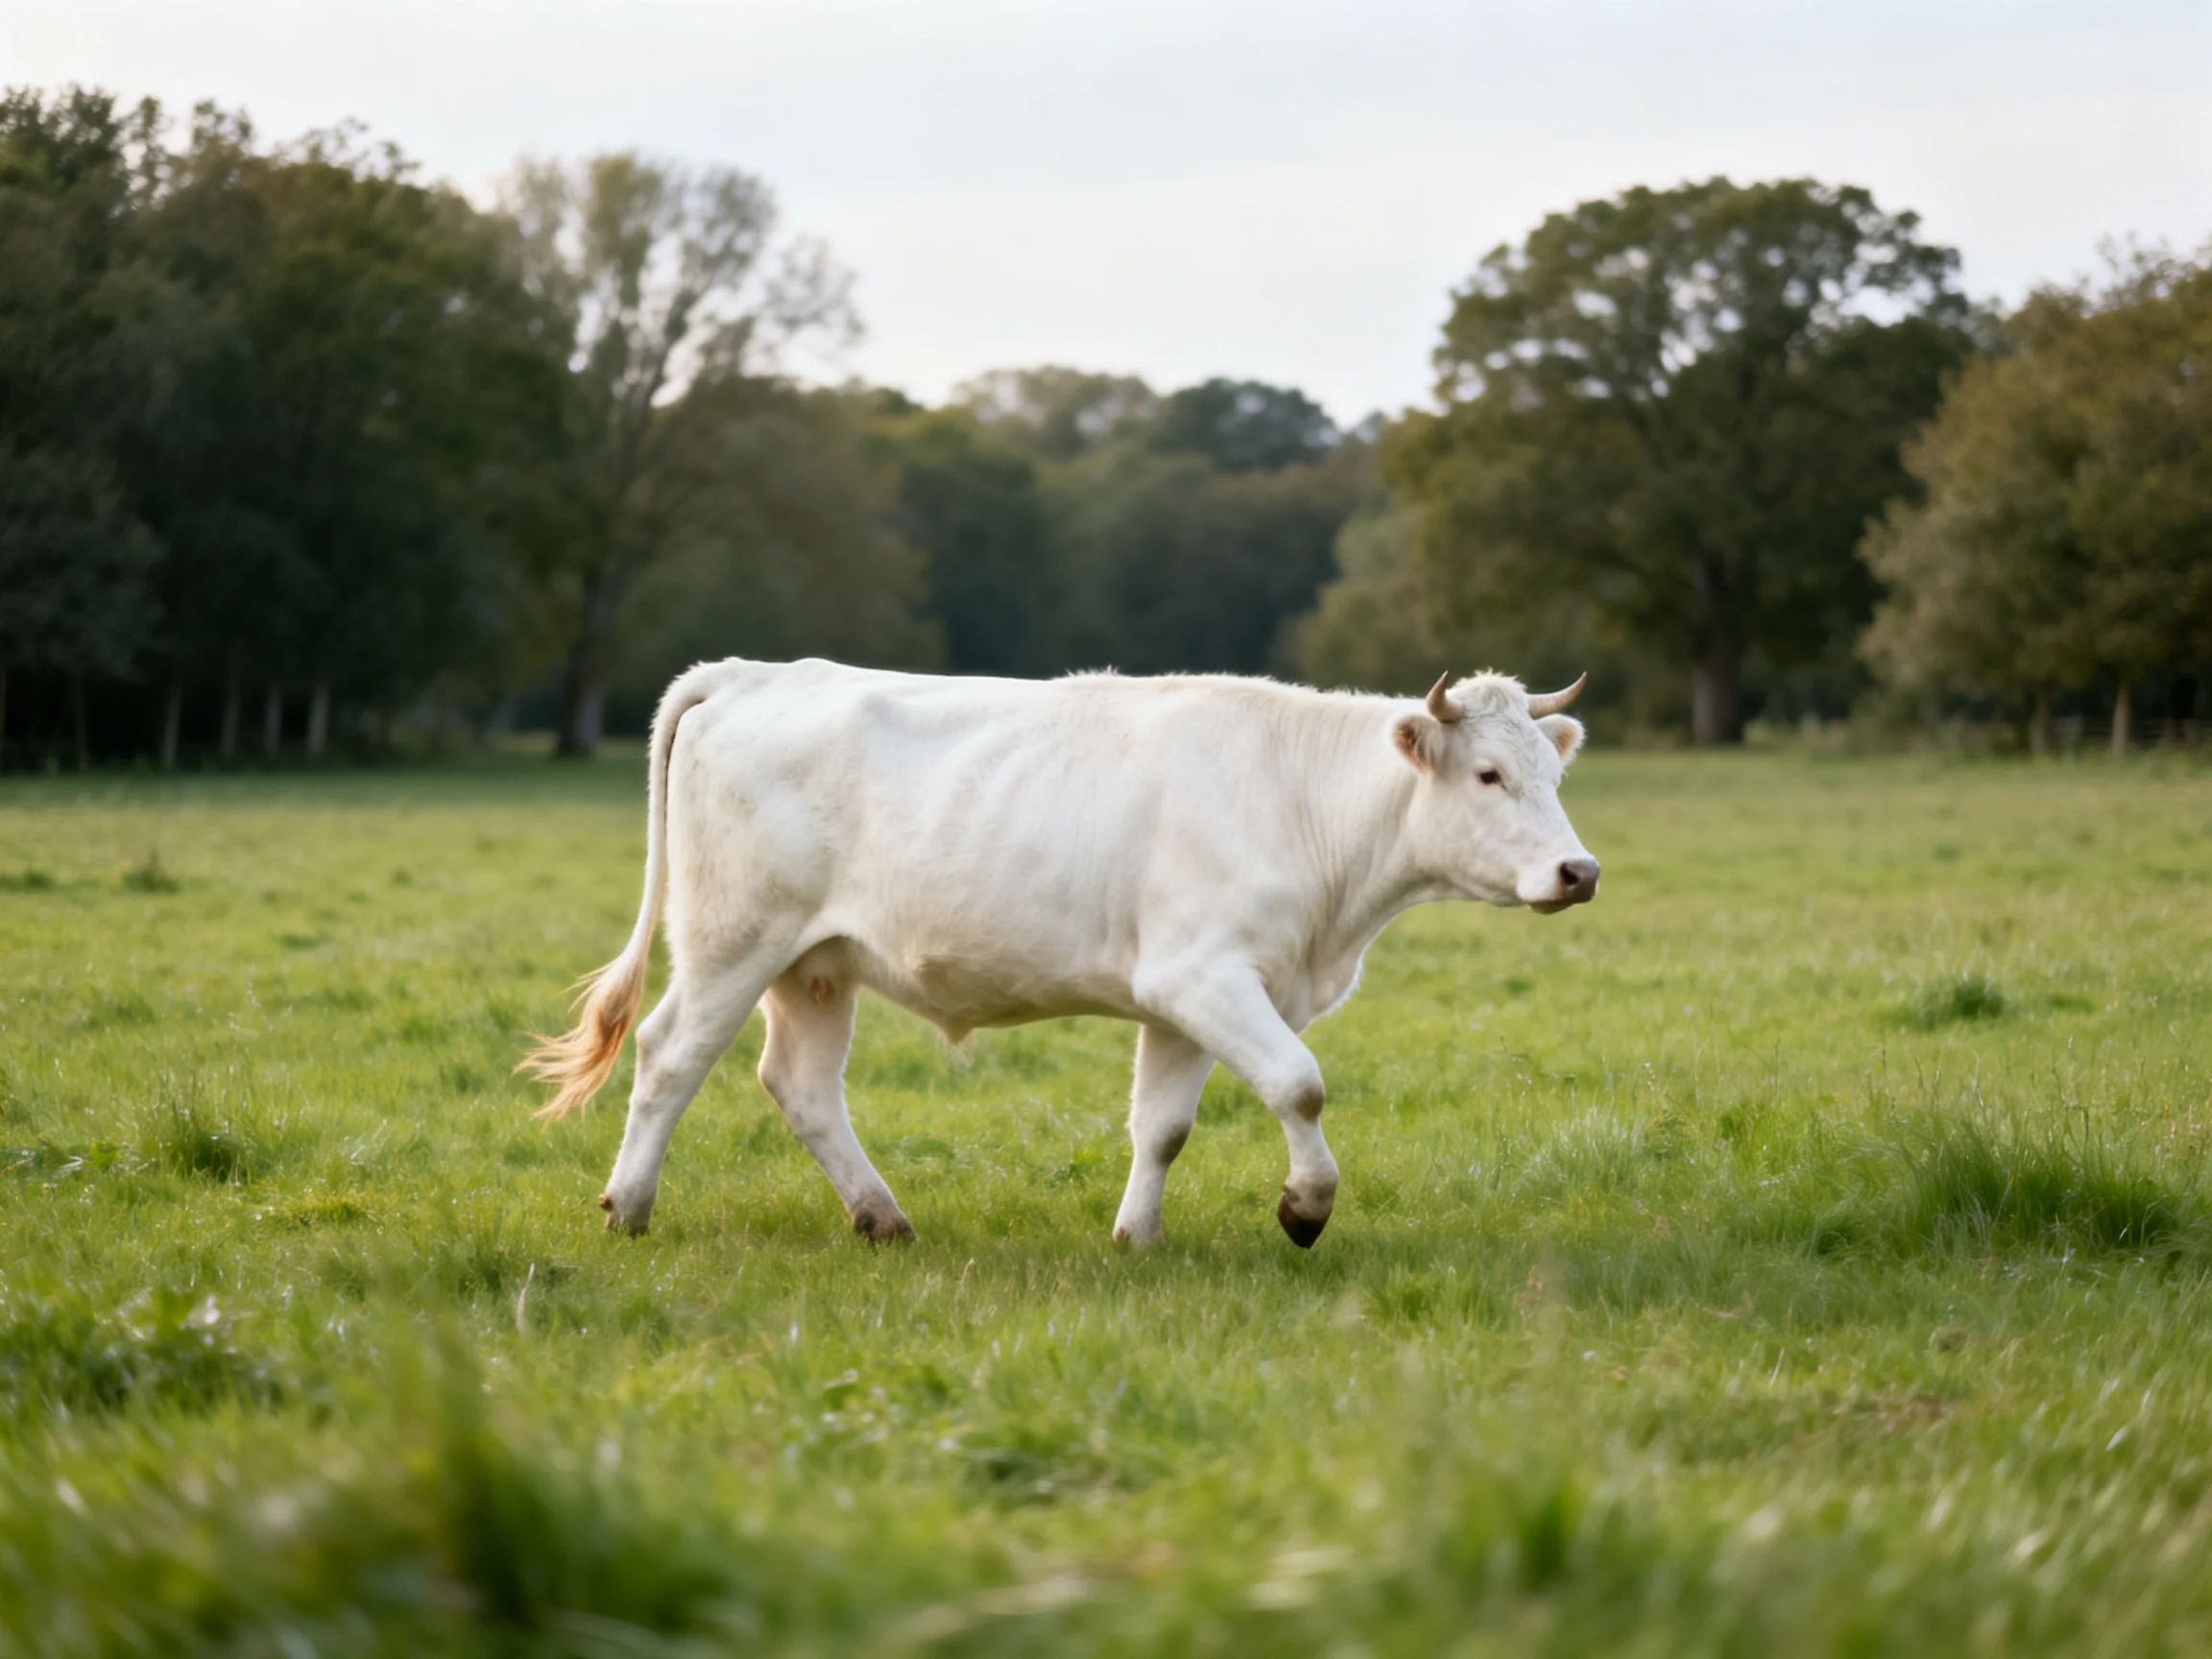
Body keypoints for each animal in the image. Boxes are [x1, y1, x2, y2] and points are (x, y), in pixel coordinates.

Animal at [523, 658, 1598, 1248]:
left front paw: (1139, 1234)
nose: (1579, 871)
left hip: (816, 964)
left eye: (1552, 774)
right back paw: (629, 1207)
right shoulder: (1204, 976)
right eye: (1490, 774)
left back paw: (882, 1218)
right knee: (669, 1057)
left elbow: (1162, 1126)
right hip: (732, 939)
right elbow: (1299, 1084)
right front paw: (1304, 1207)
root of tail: (753, 672)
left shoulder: (1184, 999)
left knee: (801, 1084)